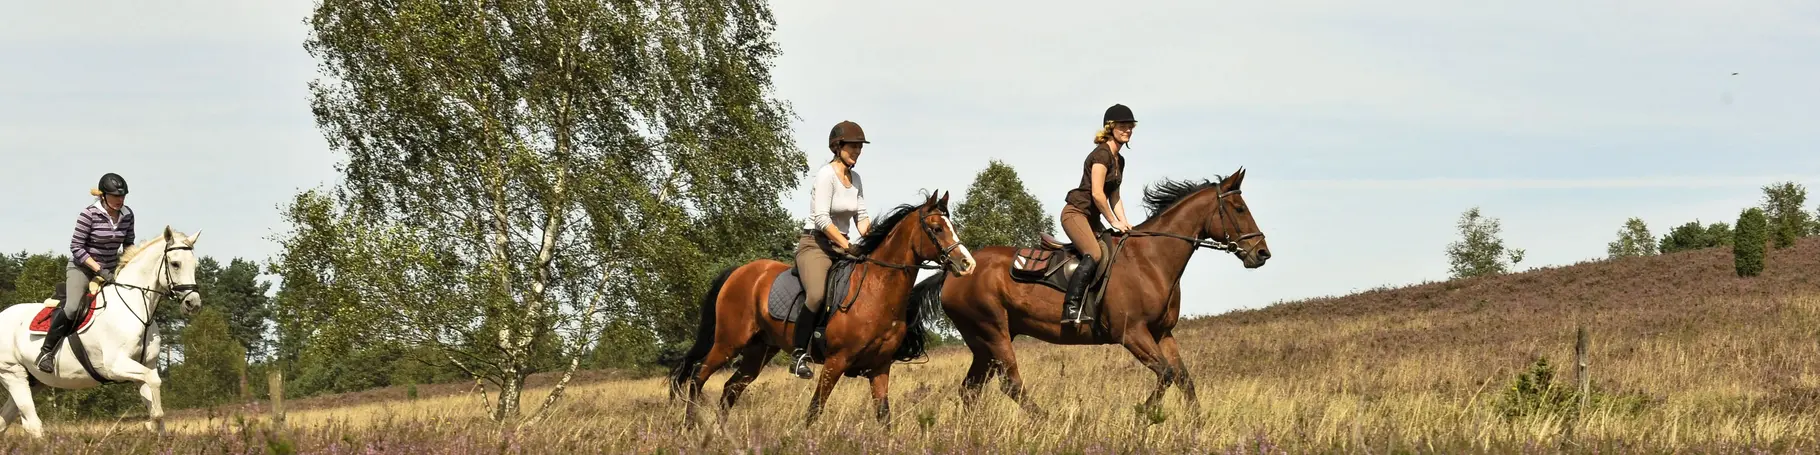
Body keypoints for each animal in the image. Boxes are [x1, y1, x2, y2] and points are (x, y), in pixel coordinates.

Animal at [673, 191, 982, 425]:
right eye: (937, 228)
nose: (968, 264)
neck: (876, 290)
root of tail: (738, 272)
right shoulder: (836, 362)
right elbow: (814, 411)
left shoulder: (880, 367)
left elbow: (884, 416)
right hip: (729, 342)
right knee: (698, 377)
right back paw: (689, 426)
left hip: (758, 351)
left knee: (730, 389)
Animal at [906, 169, 1266, 414]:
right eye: (1239, 209)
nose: (1262, 253)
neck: (1150, 259)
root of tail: (955, 272)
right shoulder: (1132, 333)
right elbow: (1165, 375)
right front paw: (1142, 414)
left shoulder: (1162, 333)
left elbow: (1183, 379)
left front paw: (1196, 423)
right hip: (992, 332)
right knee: (1011, 385)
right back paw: (1044, 422)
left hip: (983, 343)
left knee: (971, 390)